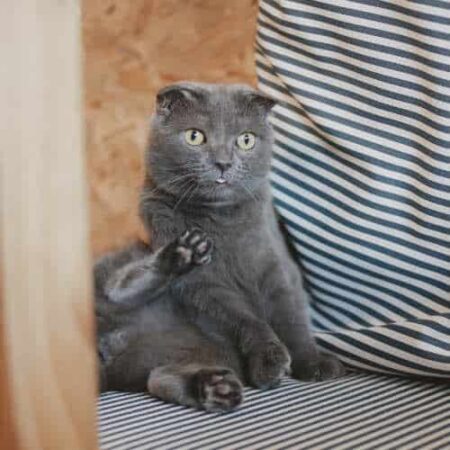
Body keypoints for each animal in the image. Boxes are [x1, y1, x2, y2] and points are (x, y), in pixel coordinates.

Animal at [96, 82, 344, 414]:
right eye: (195, 136)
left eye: (246, 140)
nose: (224, 162)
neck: (220, 221)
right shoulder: (206, 286)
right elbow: (245, 319)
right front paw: (270, 363)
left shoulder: (275, 264)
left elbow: (290, 316)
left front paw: (313, 363)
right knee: (118, 288)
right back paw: (183, 252)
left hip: (162, 361)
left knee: (160, 378)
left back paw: (216, 388)